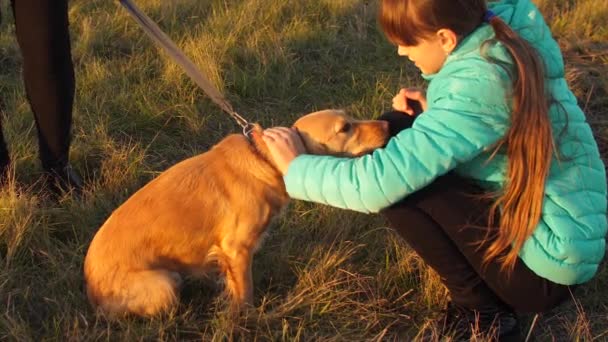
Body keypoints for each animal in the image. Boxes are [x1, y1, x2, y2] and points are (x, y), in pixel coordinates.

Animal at [83, 109, 388, 318]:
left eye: (350, 117)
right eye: (345, 127)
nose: (386, 124)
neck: (266, 160)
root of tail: (90, 291)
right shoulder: (237, 248)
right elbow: (245, 294)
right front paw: (246, 320)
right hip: (165, 283)